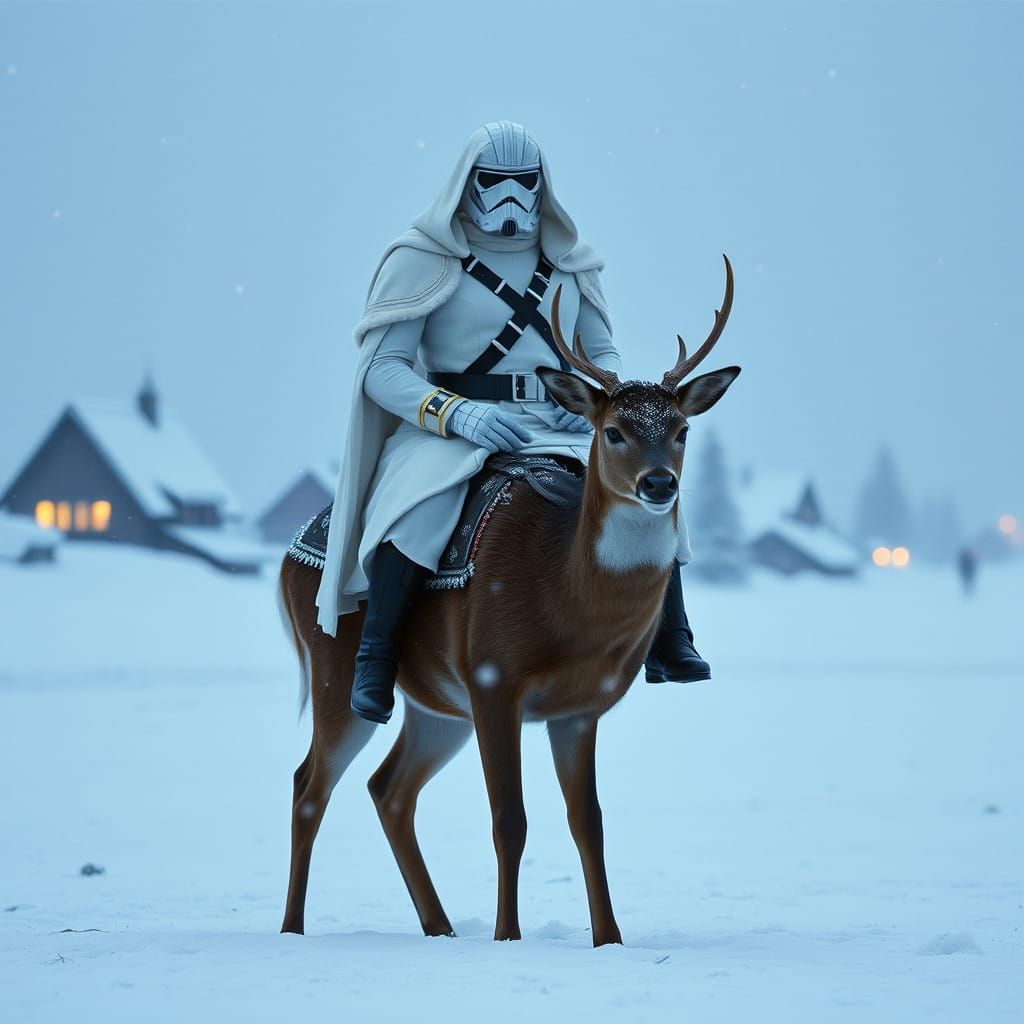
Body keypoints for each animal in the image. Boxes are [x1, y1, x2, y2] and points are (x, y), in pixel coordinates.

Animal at [279, 256, 740, 946]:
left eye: (682, 430)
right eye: (613, 431)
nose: (659, 484)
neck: (567, 602)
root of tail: (291, 553)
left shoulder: (579, 706)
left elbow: (588, 822)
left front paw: (609, 938)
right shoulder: (494, 676)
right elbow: (509, 819)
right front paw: (507, 938)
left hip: (437, 703)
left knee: (388, 788)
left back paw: (440, 927)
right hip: (336, 668)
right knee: (309, 785)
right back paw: (292, 929)